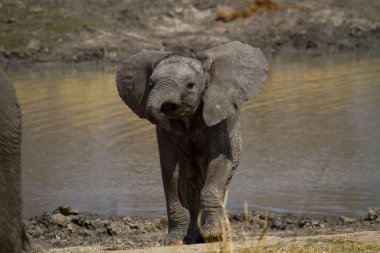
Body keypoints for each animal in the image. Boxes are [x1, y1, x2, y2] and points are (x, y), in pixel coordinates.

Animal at [116, 41, 268, 245]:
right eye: (150, 84)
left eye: (190, 85)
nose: (164, 108)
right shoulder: (165, 132)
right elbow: (170, 171)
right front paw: (172, 241)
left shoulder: (218, 116)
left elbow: (219, 163)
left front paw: (213, 235)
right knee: (190, 186)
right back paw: (192, 238)